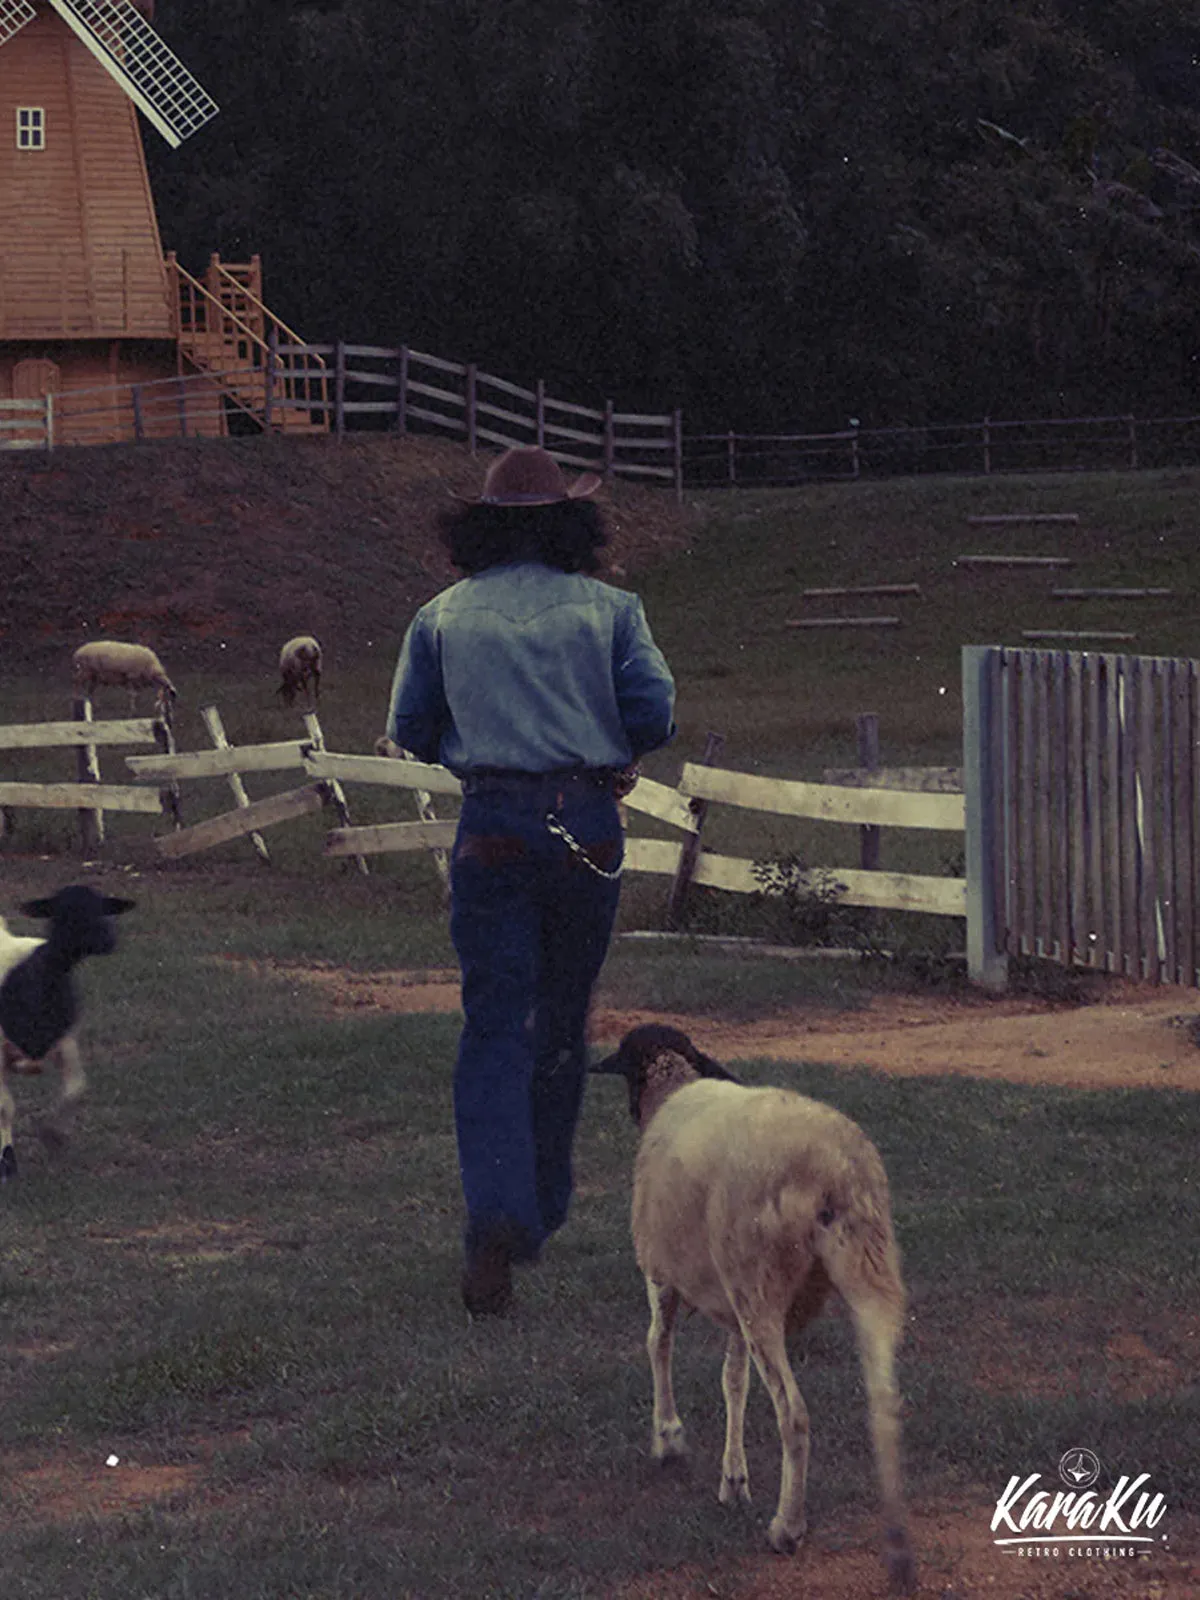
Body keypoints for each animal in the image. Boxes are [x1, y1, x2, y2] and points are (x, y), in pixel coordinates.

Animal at [0, 883, 135, 1184]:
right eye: (64, 910)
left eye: (103, 907)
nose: (108, 939)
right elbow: (6, 1107)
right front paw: (8, 1165)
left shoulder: (65, 1041)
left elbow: (76, 1090)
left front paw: (54, 1136)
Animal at [595, 1024, 921, 1587]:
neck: (672, 1087)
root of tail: (829, 1168)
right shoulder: (730, 1307)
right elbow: (734, 1381)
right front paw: (733, 1479)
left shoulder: (661, 1272)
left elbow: (658, 1344)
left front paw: (669, 1439)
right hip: (867, 1269)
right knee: (883, 1401)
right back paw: (898, 1545)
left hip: (760, 1284)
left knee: (793, 1413)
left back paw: (786, 1528)